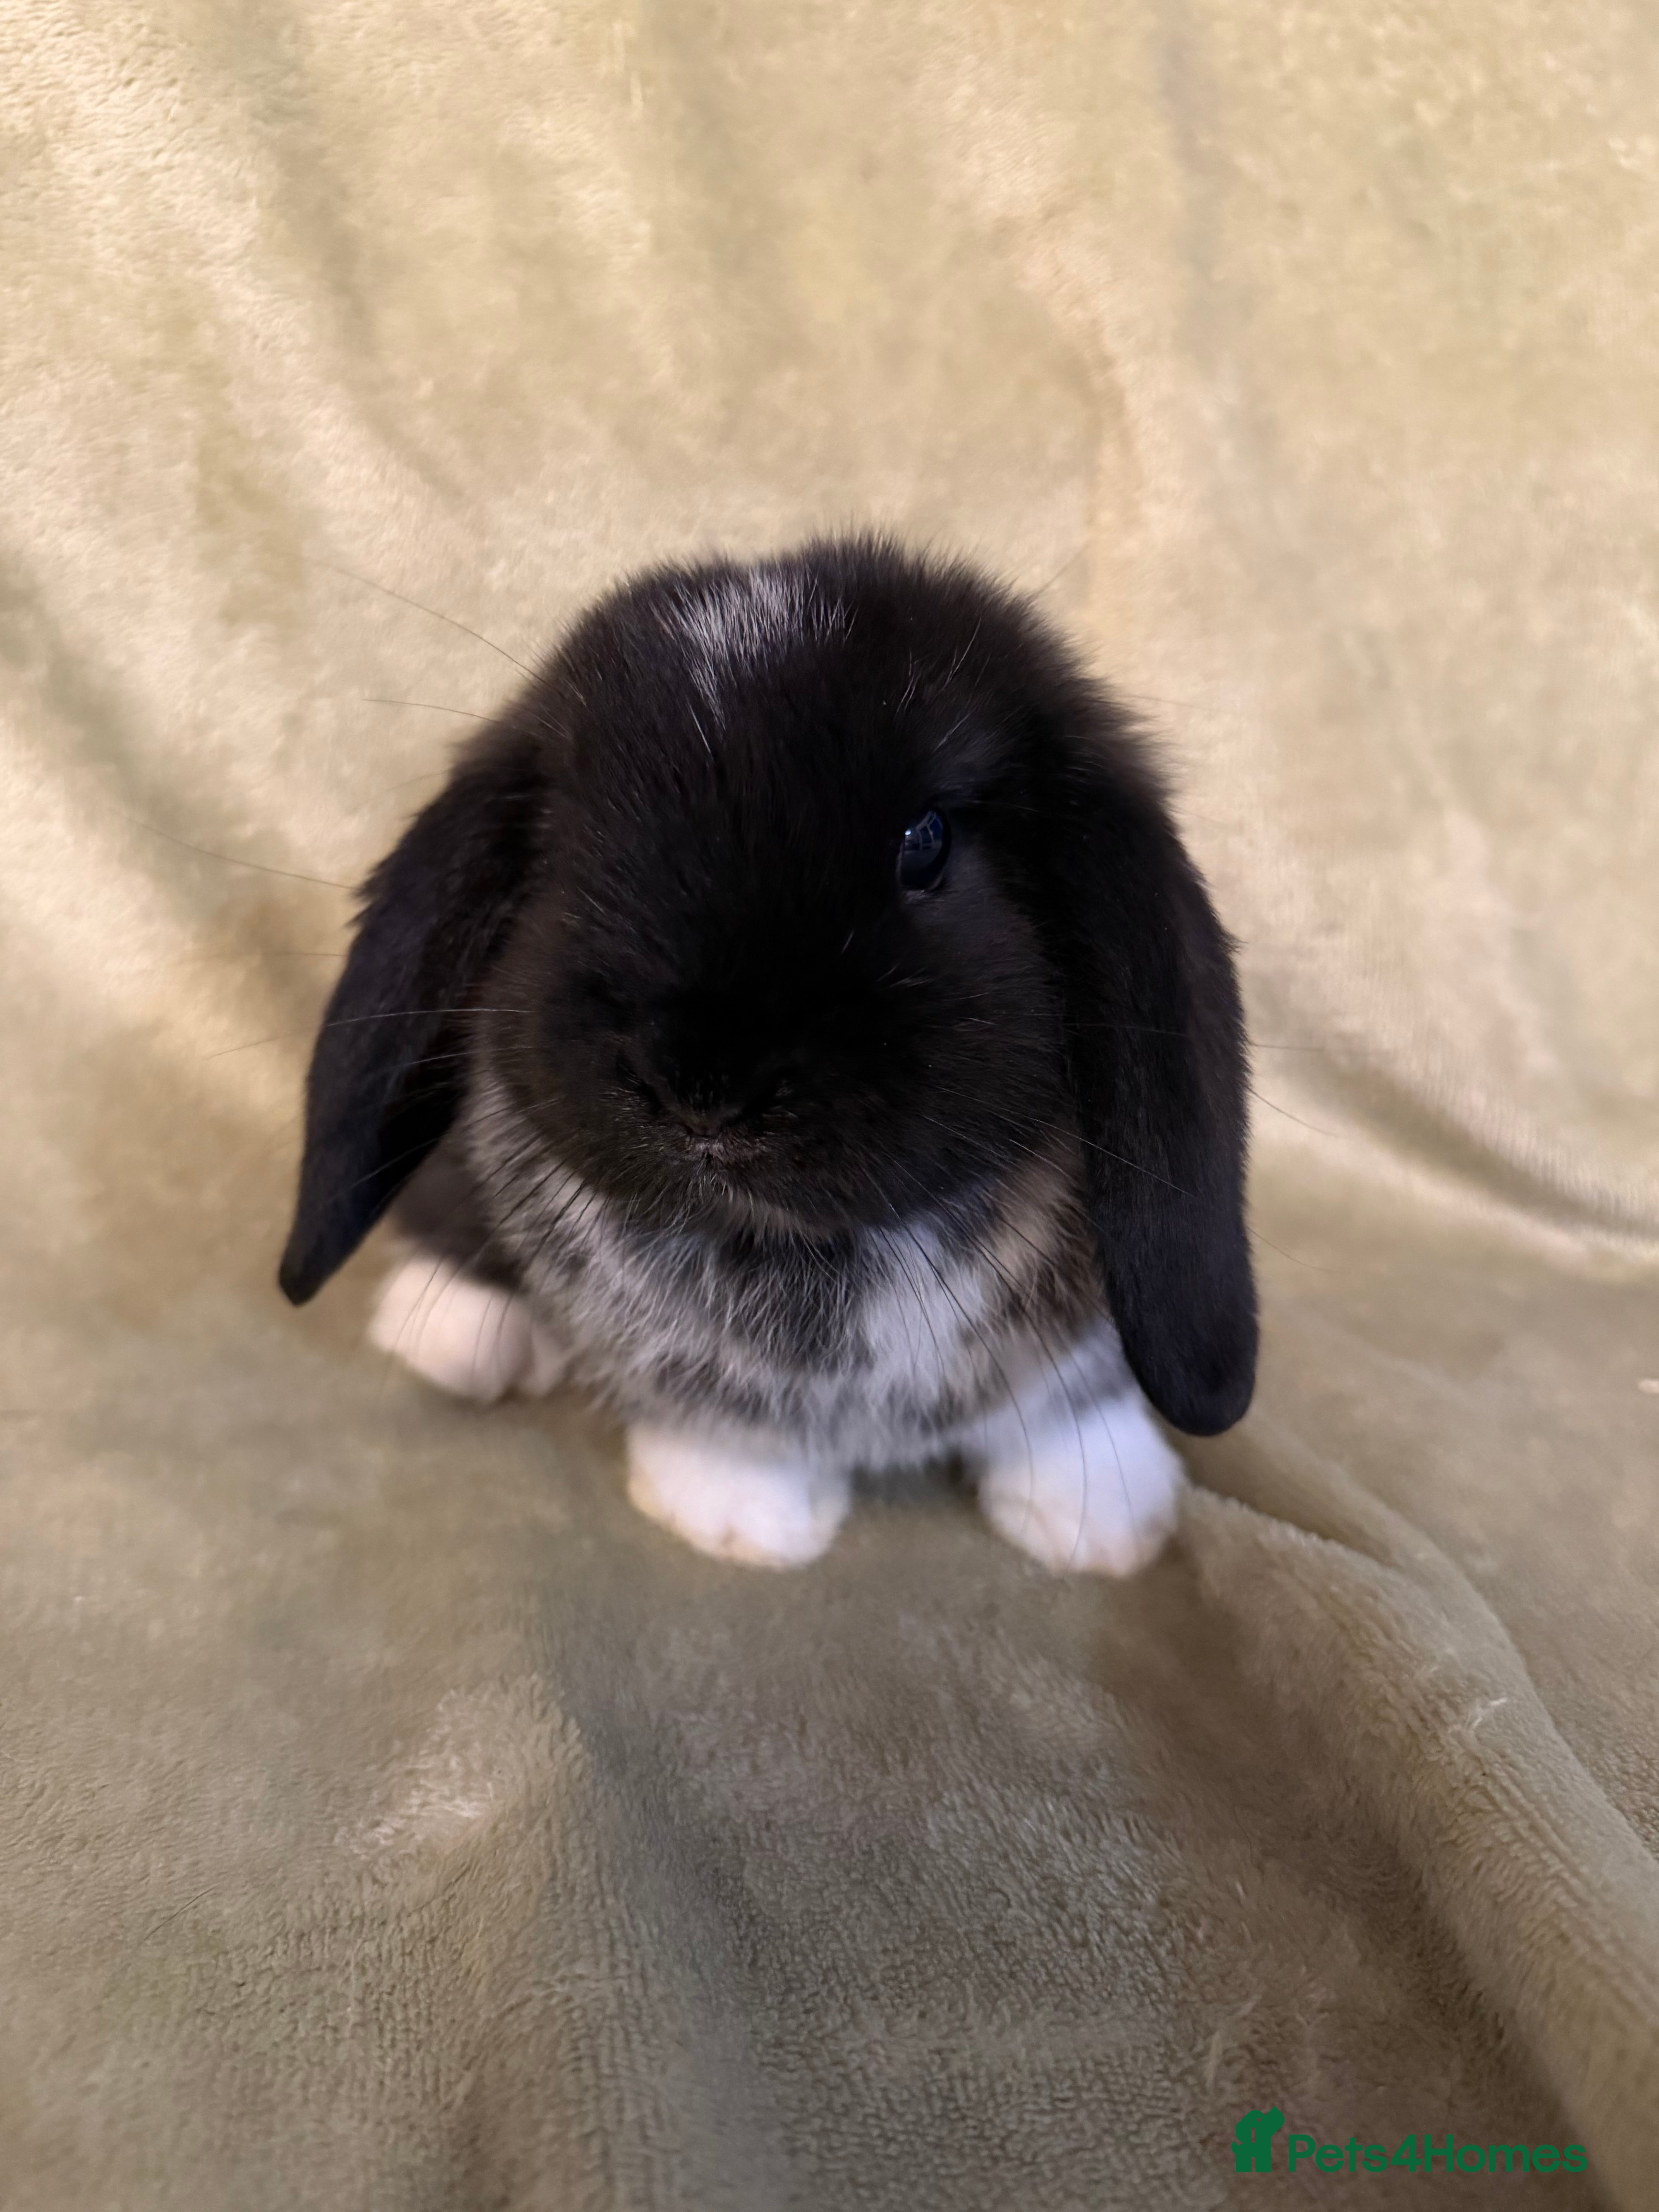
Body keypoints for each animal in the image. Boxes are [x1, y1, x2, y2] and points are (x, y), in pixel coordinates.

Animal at [279, 539, 1255, 1573]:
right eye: (558, 848)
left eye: (927, 841)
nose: (700, 1086)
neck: (827, 1250)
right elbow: (719, 1428)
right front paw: (741, 1523)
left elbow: (1076, 1400)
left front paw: (1107, 1522)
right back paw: (456, 1336)